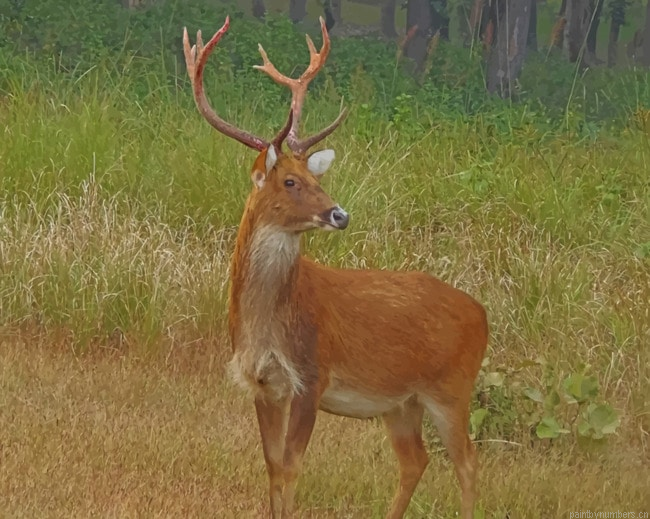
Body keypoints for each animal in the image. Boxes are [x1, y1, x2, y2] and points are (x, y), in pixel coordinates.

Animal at [183, 16, 488, 519]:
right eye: (291, 181)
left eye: (316, 178)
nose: (339, 214)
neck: (269, 323)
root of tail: (483, 315)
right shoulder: (263, 384)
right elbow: (271, 466)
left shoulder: (312, 375)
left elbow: (291, 467)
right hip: (401, 402)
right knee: (416, 459)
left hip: (452, 387)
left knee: (467, 462)